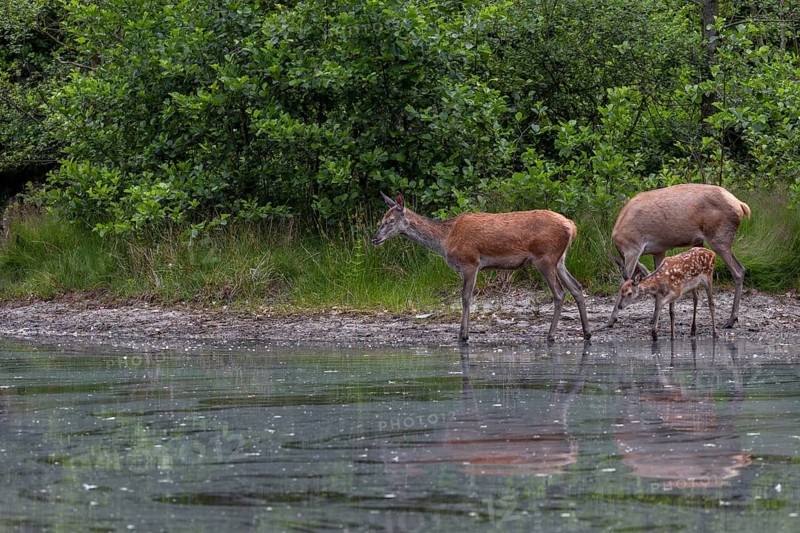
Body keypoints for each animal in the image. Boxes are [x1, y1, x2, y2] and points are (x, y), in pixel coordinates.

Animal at [371, 193, 592, 343]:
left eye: (390, 221)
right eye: (381, 220)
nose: (374, 239)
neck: (445, 239)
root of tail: (572, 227)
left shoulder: (470, 262)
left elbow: (465, 297)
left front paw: (463, 335)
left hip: (545, 257)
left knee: (560, 293)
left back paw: (551, 335)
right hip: (559, 259)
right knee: (577, 287)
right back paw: (587, 332)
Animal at [601, 183, 749, 331]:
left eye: (629, 293)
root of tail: (741, 205)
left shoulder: (633, 248)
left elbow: (622, 281)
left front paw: (611, 320)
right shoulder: (658, 250)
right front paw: (654, 317)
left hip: (719, 238)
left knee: (737, 271)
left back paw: (731, 320)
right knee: (741, 269)